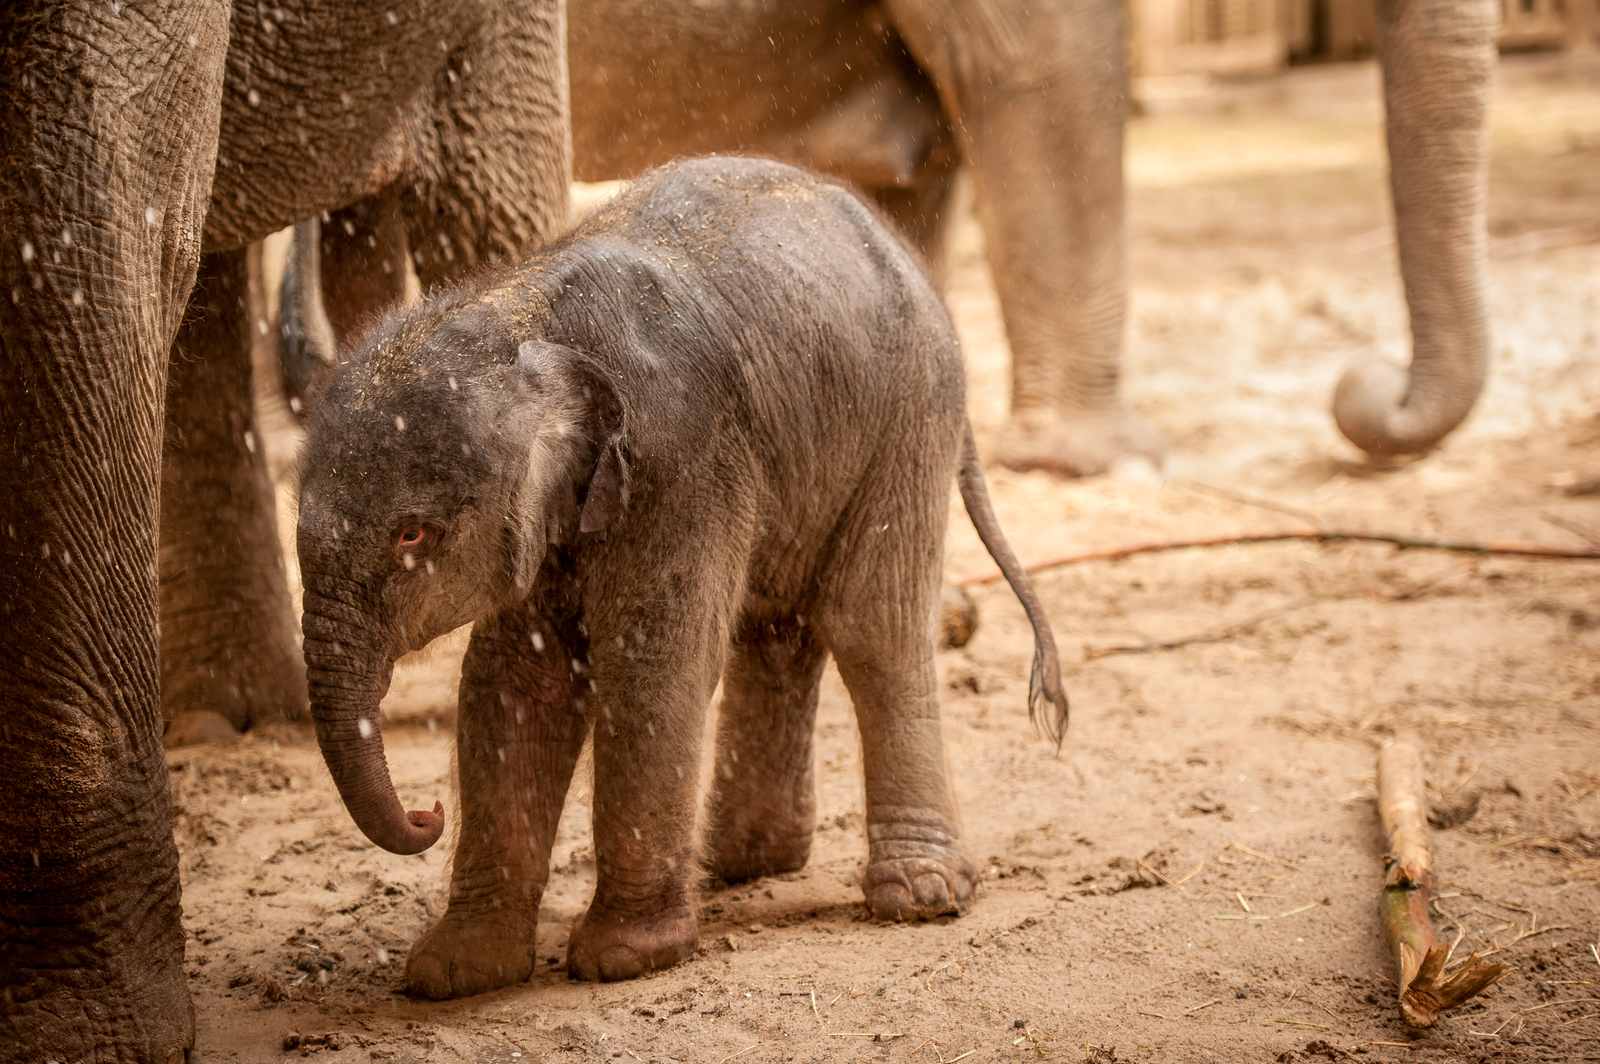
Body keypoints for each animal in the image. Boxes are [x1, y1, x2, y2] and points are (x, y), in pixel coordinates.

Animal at [297, 156, 1075, 998]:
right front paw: (455, 972)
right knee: (780, 627)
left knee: (873, 623)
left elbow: (652, 666)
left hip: (909, 413)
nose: (427, 815)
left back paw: (919, 896)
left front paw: (625, 959)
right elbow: (515, 682)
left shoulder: (681, 459)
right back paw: (743, 863)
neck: (518, 312)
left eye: (412, 534)